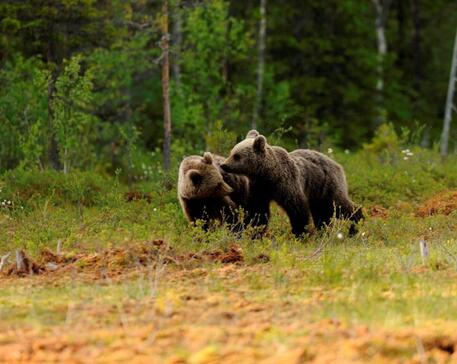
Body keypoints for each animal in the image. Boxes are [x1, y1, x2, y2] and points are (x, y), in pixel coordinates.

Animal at [219, 129, 362, 237]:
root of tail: (337, 164)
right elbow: (258, 211)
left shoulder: (286, 183)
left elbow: (297, 208)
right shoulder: (259, 188)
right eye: (232, 152)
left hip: (327, 185)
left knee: (338, 205)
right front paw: (253, 231)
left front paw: (299, 233)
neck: (267, 174)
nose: (224, 165)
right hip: (317, 192)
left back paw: (355, 225)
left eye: (237, 156)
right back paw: (323, 231)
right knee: (322, 213)